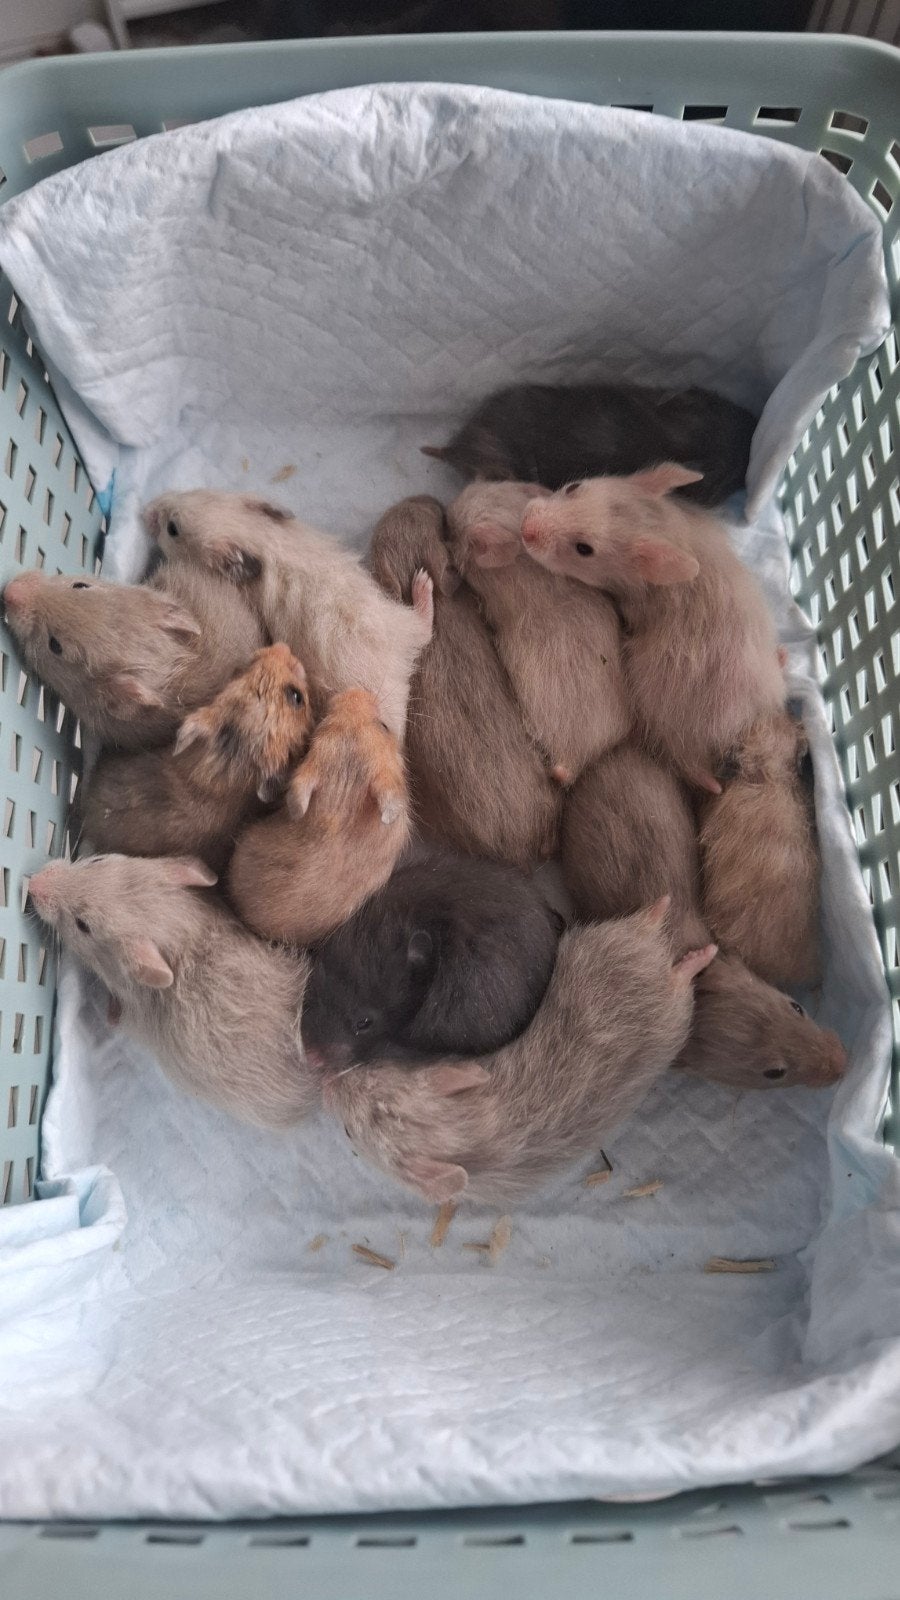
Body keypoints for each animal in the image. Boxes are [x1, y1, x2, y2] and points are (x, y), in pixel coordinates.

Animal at [144, 489, 434, 739]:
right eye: (196, 491)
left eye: (172, 528)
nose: (146, 510)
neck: (259, 537)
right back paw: (424, 582)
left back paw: (422, 582)